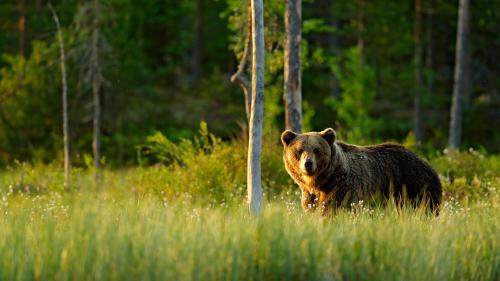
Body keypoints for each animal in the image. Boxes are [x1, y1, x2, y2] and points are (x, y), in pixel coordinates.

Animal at [282, 128, 442, 213]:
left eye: (316, 150)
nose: (308, 164)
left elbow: (334, 209)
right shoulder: (310, 195)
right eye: (300, 150)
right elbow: (312, 208)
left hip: (414, 186)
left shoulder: (343, 189)